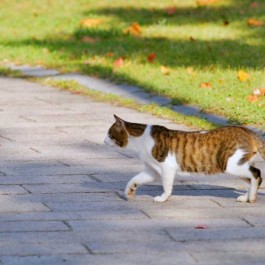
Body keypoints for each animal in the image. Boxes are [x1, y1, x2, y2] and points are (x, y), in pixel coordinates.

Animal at [104, 113, 262, 202]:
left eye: (110, 135)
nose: (104, 141)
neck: (141, 139)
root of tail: (247, 131)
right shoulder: (152, 170)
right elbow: (135, 179)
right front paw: (130, 191)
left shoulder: (166, 167)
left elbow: (167, 185)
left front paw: (163, 198)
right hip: (238, 165)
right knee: (250, 179)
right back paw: (246, 197)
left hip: (230, 165)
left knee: (257, 174)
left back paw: (253, 197)